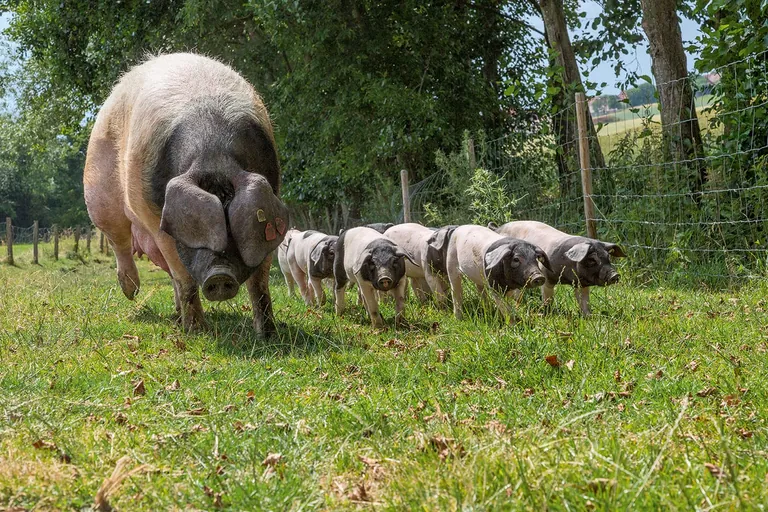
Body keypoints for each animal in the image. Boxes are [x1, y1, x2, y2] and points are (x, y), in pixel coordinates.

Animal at [83, 53, 289, 336]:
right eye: (194, 227)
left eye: (233, 223)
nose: (220, 275)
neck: (214, 155)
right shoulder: (157, 221)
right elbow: (185, 277)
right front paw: (197, 332)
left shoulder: (271, 203)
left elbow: (260, 281)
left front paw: (267, 335)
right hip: (99, 195)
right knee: (119, 241)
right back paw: (132, 293)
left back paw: (176, 316)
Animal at [490, 221, 626, 316]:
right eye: (592, 260)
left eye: (608, 257)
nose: (615, 275)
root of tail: (497, 228)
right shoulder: (547, 278)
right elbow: (548, 299)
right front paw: (548, 313)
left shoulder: (580, 283)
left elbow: (584, 301)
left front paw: (589, 316)